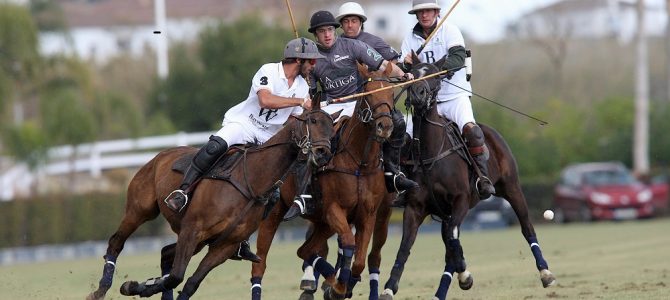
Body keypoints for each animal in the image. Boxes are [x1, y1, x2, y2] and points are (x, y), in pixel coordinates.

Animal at [87, 99, 342, 300]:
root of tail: (160, 155)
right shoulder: (192, 229)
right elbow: (176, 276)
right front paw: (133, 286)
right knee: (116, 242)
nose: (323, 153)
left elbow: (189, 283)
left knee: (166, 253)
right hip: (140, 210)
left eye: (332, 128)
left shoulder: (223, 246)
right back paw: (100, 290)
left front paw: (140, 286)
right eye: (312, 121)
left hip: (199, 242)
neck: (252, 180)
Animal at [252, 63, 400, 300]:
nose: (384, 126)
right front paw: (338, 288)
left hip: (324, 222)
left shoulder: (367, 214)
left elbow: (359, 261)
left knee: (305, 250)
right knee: (260, 263)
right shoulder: (334, 209)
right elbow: (348, 242)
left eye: (390, 93)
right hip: (275, 214)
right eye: (368, 95)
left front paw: (340, 286)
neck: (359, 162)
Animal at [372, 56, 560, 300]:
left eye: (433, 74)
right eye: (412, 74)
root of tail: (490, 130)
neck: (431, 153)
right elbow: (406, 246)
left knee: (526, 226)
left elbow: (452, 238)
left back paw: (546, 273)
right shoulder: (415, 207)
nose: (418, 94)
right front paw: (389, 287)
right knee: (449, 243)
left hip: (511, 187)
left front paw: (465, 275)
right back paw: (443, 290)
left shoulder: (460, 200)